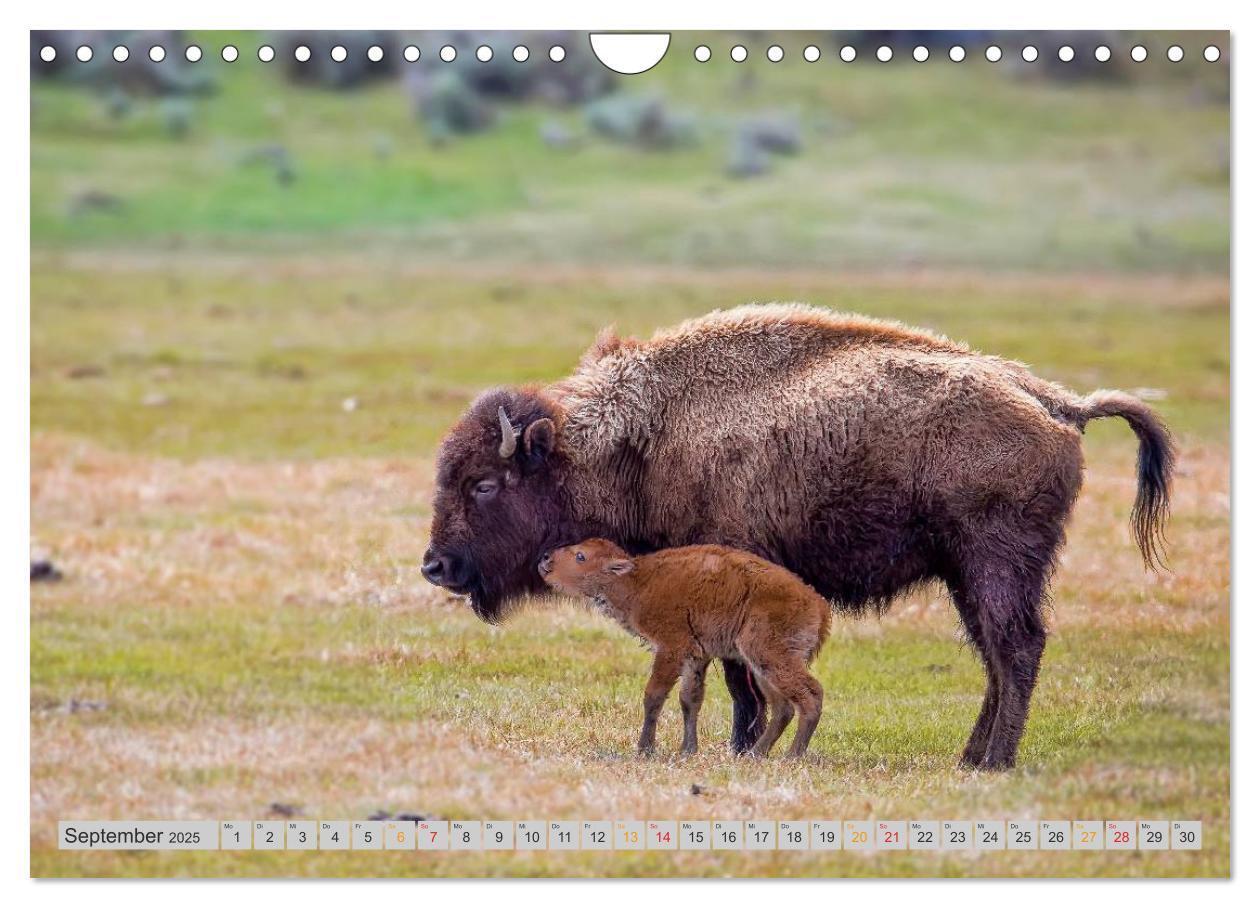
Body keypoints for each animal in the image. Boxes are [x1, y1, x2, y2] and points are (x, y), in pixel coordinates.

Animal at [536, 539, 831, 755]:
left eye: (581, 556)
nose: (545, 558)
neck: (637, 581)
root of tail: (818, 605)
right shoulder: (695, 656)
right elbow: (690, 700)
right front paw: (688, 750)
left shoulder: (670, 649)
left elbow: (654, 695)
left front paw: (645, 749)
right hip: (761, 666)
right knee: (783, 707)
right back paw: (755, 754)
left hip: (772, 657)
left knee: (811, 694)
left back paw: (792, 755)